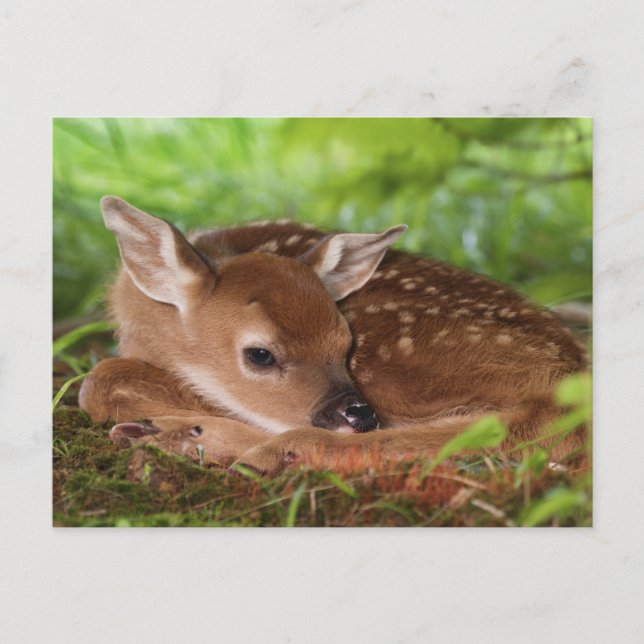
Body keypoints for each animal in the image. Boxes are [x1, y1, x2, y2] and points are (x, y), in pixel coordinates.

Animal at [78, 196, 588, 476]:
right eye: (260, 354)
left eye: (346, 343)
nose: (359, 414)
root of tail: (570, 376)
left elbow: (98, 383)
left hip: (400, 366)